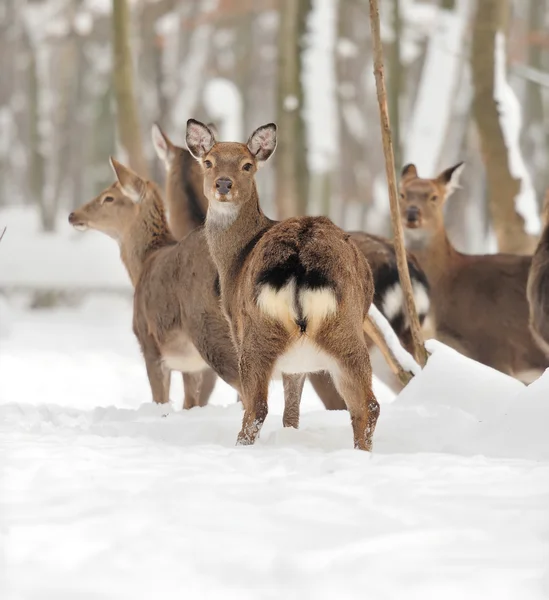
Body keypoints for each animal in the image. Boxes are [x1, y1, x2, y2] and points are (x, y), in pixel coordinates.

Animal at [184, 118, 394, 450]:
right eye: (208, 162)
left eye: (247, 165)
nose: (223, 184)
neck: (234, 260)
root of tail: (301, 258)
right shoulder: (299, 361)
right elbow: (292, 412)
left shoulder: (237, 329)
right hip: (345, 331)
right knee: (368, 405)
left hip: (259, 333)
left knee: (256, 408)